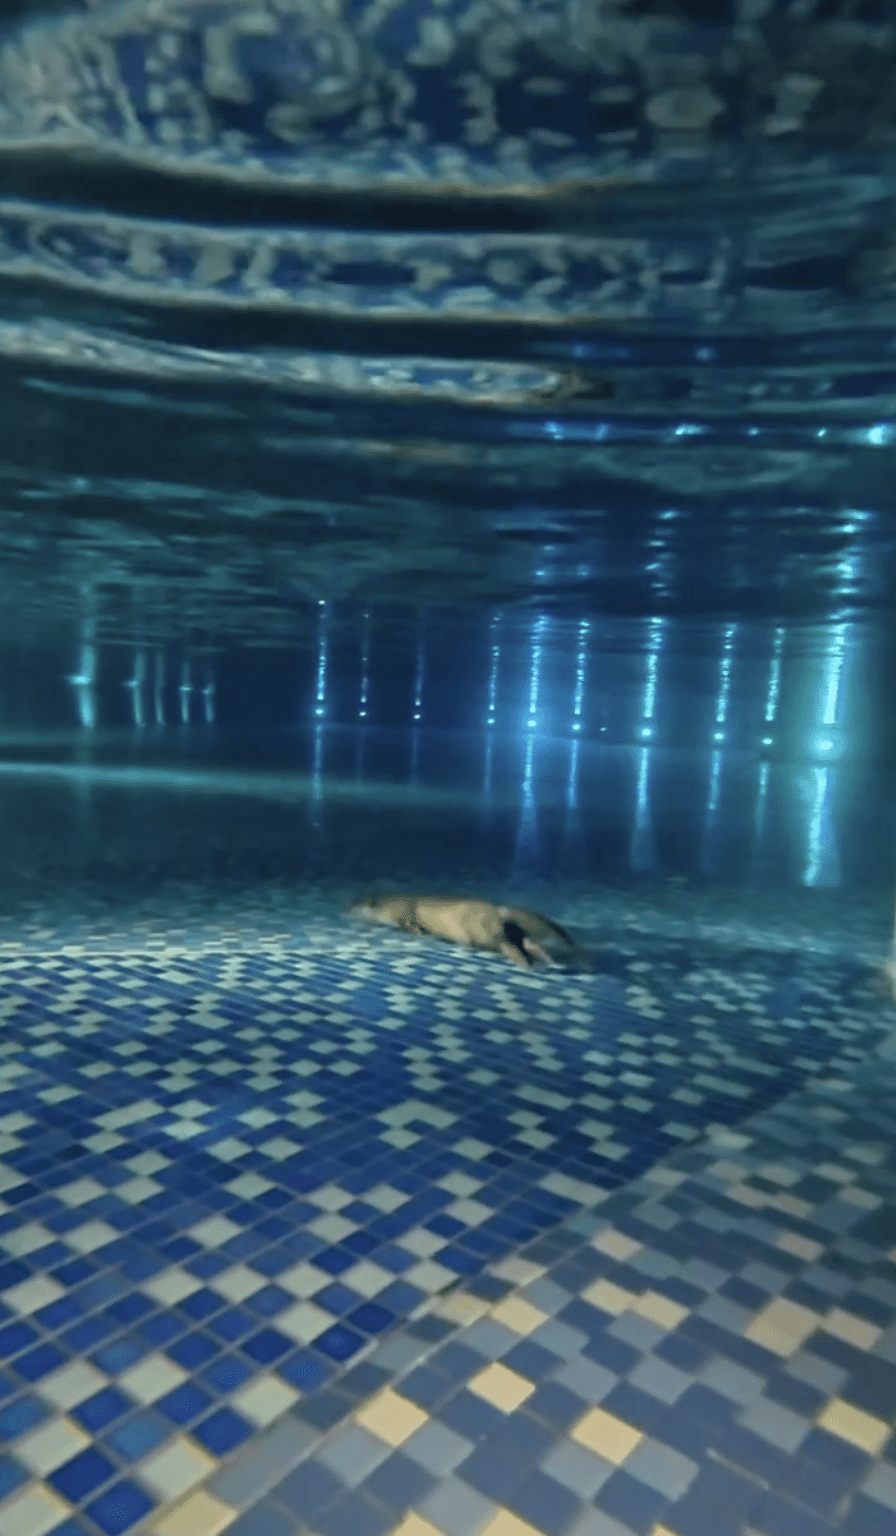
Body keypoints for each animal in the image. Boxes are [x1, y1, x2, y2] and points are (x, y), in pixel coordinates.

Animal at [349, 891, 582, 968]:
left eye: (355, 905)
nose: (344, 907)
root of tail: (500, 910)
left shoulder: (403, 914)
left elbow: (407, 925)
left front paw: (417, 931)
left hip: (486, 933)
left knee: (510, 946)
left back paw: (527, 963)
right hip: (511, 931)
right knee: (528, 942)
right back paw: (546, 960)